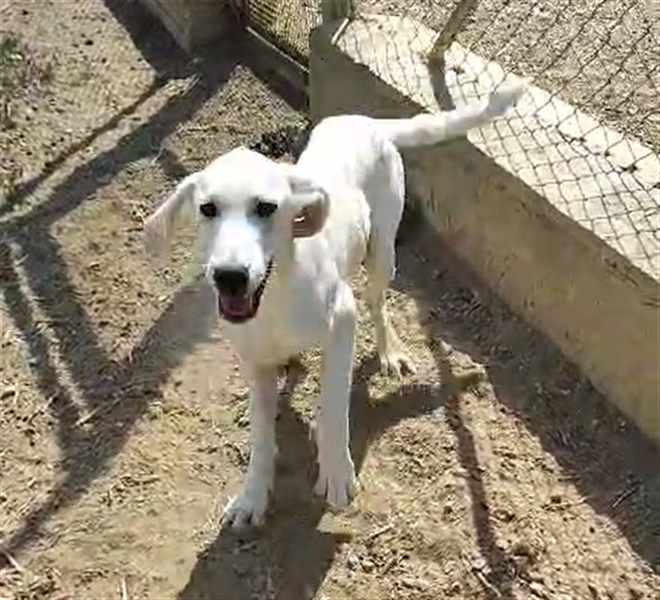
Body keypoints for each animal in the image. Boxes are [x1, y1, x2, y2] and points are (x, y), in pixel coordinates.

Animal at [143, 82, 524, 529]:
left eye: (266, 207)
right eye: (207, 209)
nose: (230, 276)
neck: (276, 295)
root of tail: (367, 122)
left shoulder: (343, 320)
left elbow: (336, 403)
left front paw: (337, 472)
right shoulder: (253, 357)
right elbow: (260, 433)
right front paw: (253, 494)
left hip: (382, 253)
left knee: (376, 304)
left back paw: (388, 352)